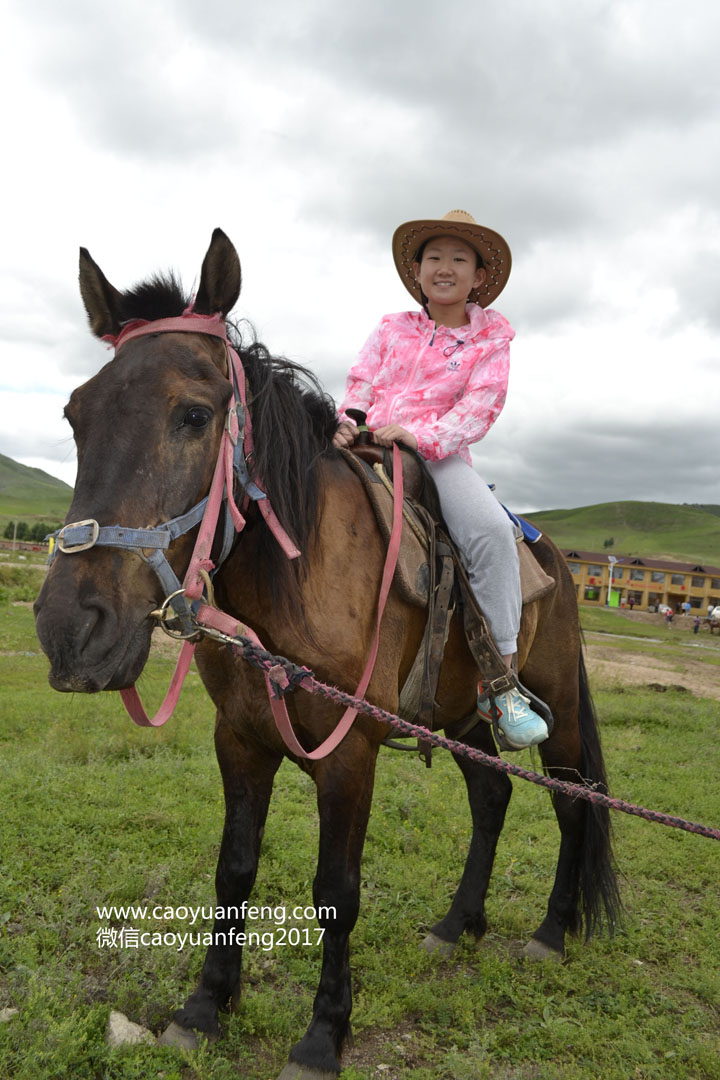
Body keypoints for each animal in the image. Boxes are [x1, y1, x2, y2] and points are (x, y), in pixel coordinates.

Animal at [32, 230, 621, 1080]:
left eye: (194, 414)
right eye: (75, 415)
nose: (71, 628)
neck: (293, 580)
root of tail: (557, 559)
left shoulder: (351, 753)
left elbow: (337, 891)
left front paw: (322, 1036)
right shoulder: (241, 740)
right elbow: (234, 869)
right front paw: (204, 1009)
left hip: (558, 709)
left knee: (573, 802)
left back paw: (549, 932)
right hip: (462, 718)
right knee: (492, 798)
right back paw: (457, 924)